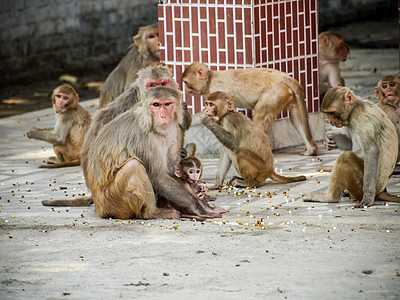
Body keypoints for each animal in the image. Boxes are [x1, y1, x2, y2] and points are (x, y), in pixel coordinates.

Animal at [83, 86, 227, 220]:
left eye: (167, 104)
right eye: (156, 105)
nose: (162, 116)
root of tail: (98, 207)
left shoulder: (175, 127)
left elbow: (174, 169)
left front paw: (200, 194)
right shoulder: (144, 137)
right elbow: (158, 177)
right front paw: (197, 208)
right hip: (111, 202)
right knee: (134, 166)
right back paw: (152, 212)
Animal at [182, 62, 318, 156]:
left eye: (186, 83)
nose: (187, 90)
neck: (210, 79)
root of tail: (284, 77)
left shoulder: (216, 89)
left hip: (275, 92)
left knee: (259, 112)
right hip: (288, 95)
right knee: (295, 116)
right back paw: (311, 149)